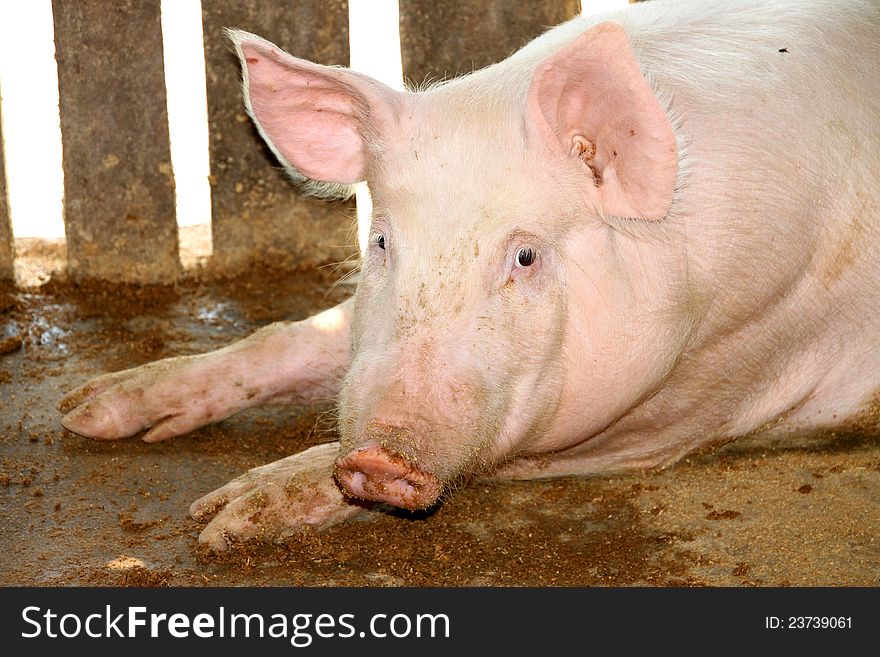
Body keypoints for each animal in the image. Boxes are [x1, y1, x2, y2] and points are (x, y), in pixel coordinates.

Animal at [56, 0, 880, 552]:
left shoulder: (699, 400)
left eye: (526, 256)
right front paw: (85, 411)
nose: (378, 454)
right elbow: (287, 338)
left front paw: (218, 520)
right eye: (381, 239)